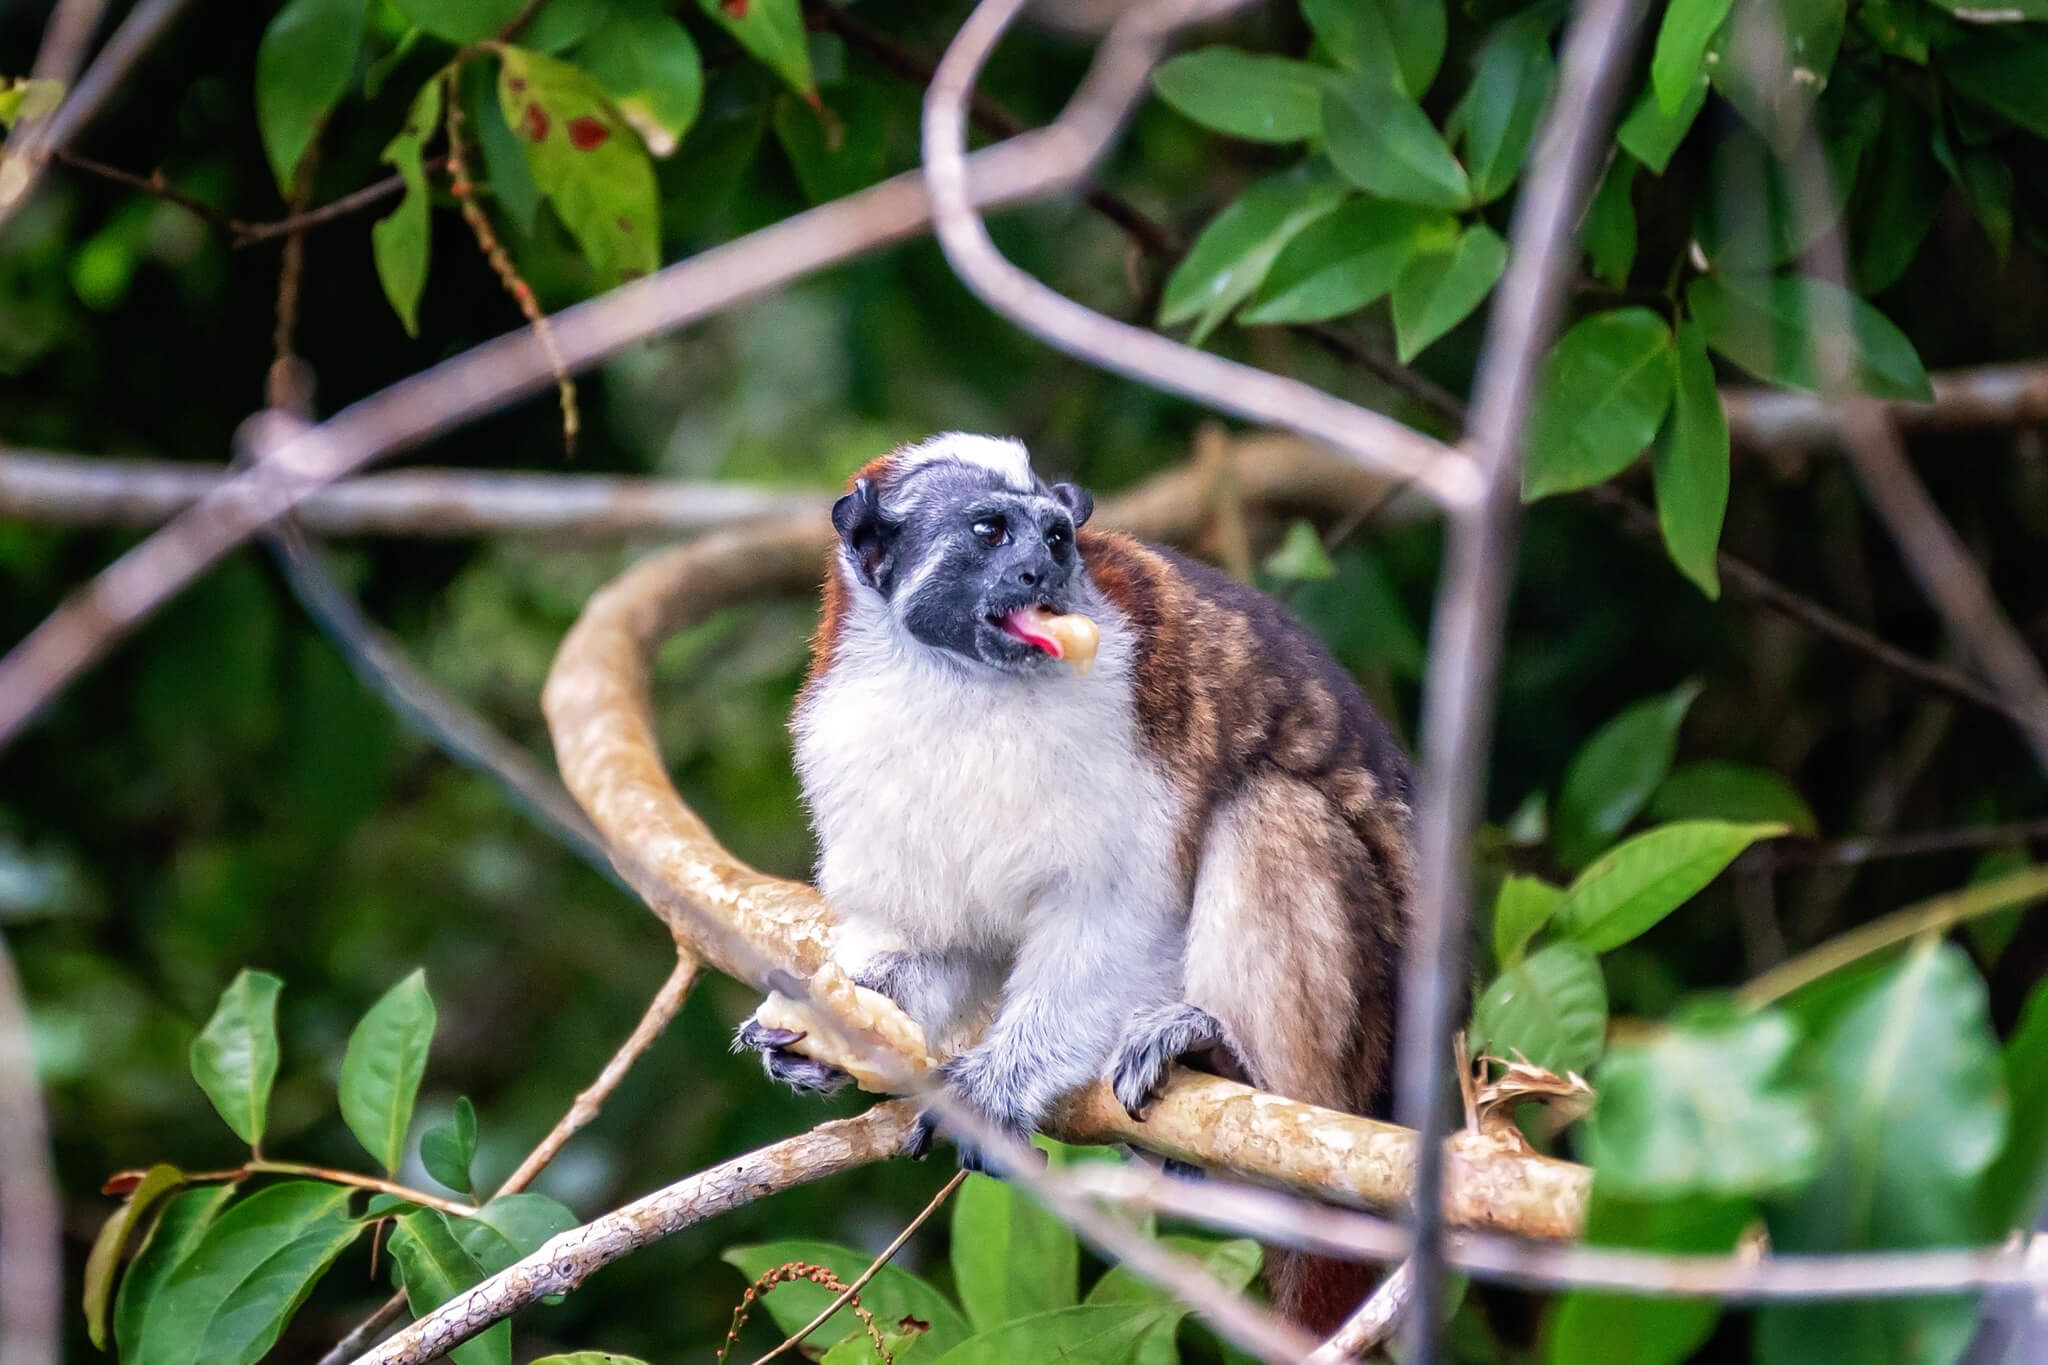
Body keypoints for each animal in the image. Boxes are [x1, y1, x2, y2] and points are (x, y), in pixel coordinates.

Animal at [741, 431, 1425, 1326]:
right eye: (991, 531)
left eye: (1058, 536)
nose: (1043, 569)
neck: (957, 683)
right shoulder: (846, 734)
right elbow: (943, 941)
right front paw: (828, 1033)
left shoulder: (1123, 710)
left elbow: (1120, 911)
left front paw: (997, 1086)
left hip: (1363, 1054)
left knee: (1268, 806)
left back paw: (1232, 1062)